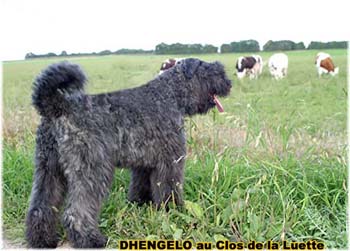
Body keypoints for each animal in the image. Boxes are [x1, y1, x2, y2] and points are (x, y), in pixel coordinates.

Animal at [25, 58, 232, 247]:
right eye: (212, 71)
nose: (229, 83)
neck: (171, 94)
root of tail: (58, 107)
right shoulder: (171, 160)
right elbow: (169, 189)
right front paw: (174, 211)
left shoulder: (144, 163)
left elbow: (140, 186)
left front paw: (140, 205)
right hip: (92, 170)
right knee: (76, 212)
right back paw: (91, 239)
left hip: (48, 169)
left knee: (41, 206)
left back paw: (42, 239)